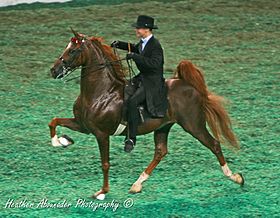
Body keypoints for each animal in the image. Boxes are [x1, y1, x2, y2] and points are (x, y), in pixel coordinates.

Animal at [49, 29, 244, 200]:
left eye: (73, 50)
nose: (54, 70)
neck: (101, 93)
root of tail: (187, 84)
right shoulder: (83, 125)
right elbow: (54, 121)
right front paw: (62, 141)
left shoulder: (101, 134)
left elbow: (105, 164)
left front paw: (102, 192)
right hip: (164, 126)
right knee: (160, 152)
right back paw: (137, 184)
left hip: (193, 125)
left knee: (214, 144)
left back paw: (235, 177)